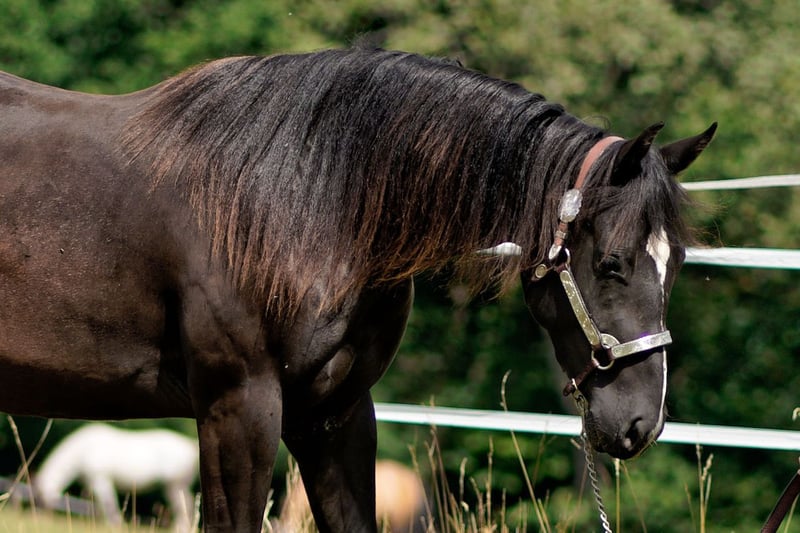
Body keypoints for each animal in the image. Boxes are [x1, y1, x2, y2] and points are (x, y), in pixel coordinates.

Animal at [34, 424, 198, 531]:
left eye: (41, 497)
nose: (42, 517)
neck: (83, 451)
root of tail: (190, 446)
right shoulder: (94, 484)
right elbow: (100, 506)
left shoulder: (101, 480)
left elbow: (109, 504)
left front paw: (116, 524)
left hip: (174, 485)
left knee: (184, 507)